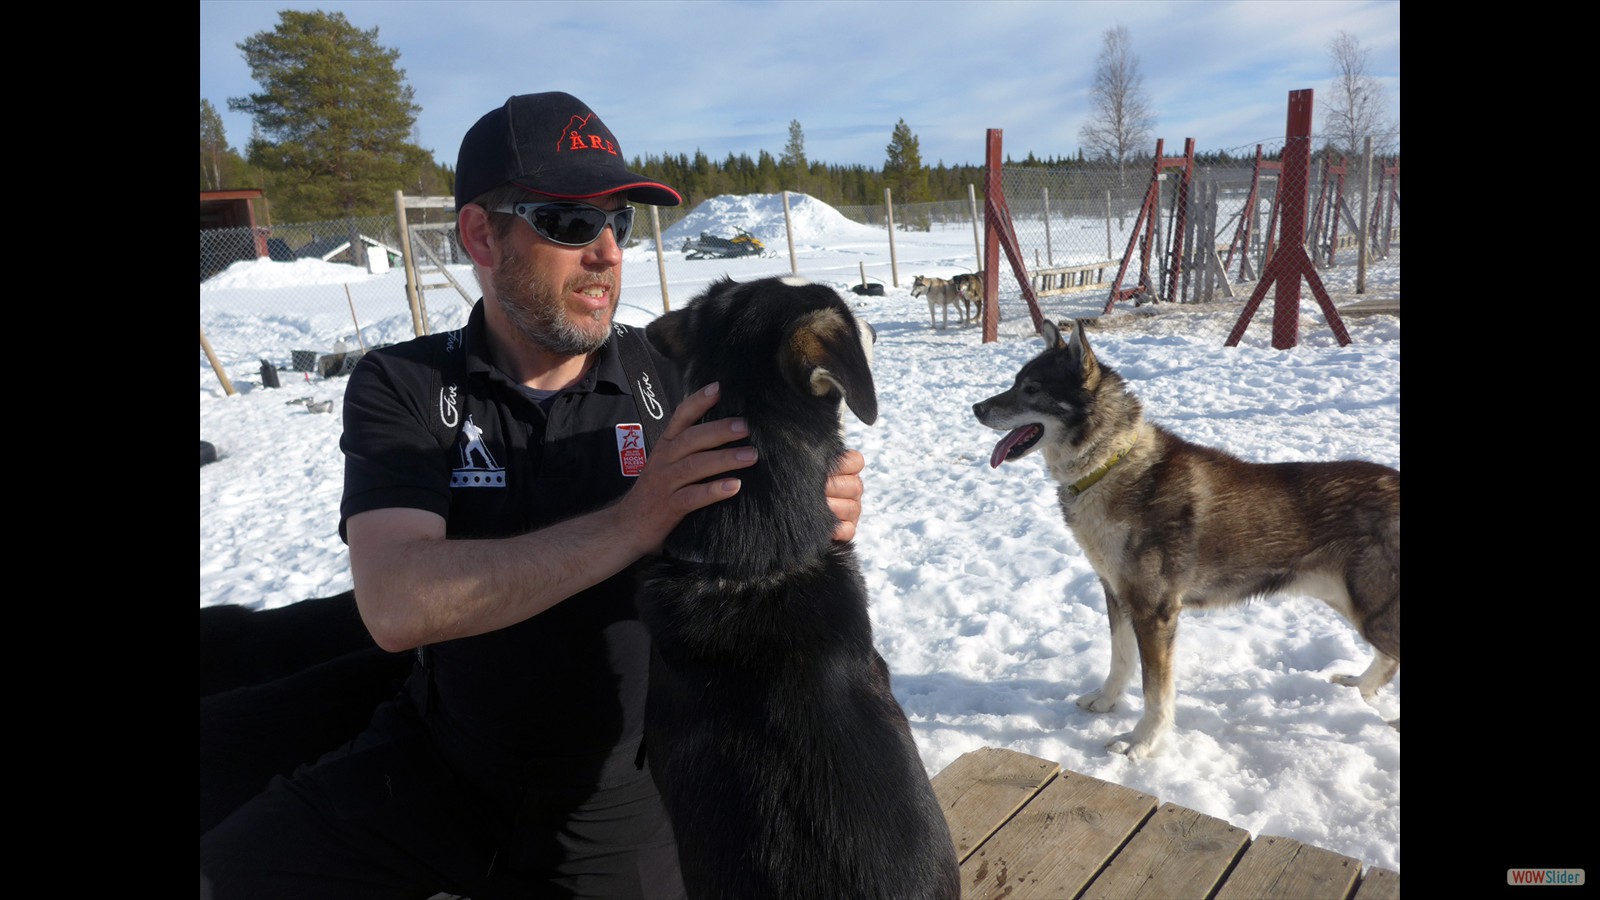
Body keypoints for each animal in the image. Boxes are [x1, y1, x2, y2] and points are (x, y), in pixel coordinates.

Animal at [966, 321, 1395, 755]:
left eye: (1032, 389)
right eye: (1016, 382)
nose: (977, 408)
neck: (1109, 466)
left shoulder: (1154, 611)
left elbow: (1156, 691)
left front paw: (1141, 743)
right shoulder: (1117, 595)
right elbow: (1120, 660)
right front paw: (1106, 702)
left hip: (1372, 610)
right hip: (1350, 602)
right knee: (1387, 660)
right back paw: (1358, 688)